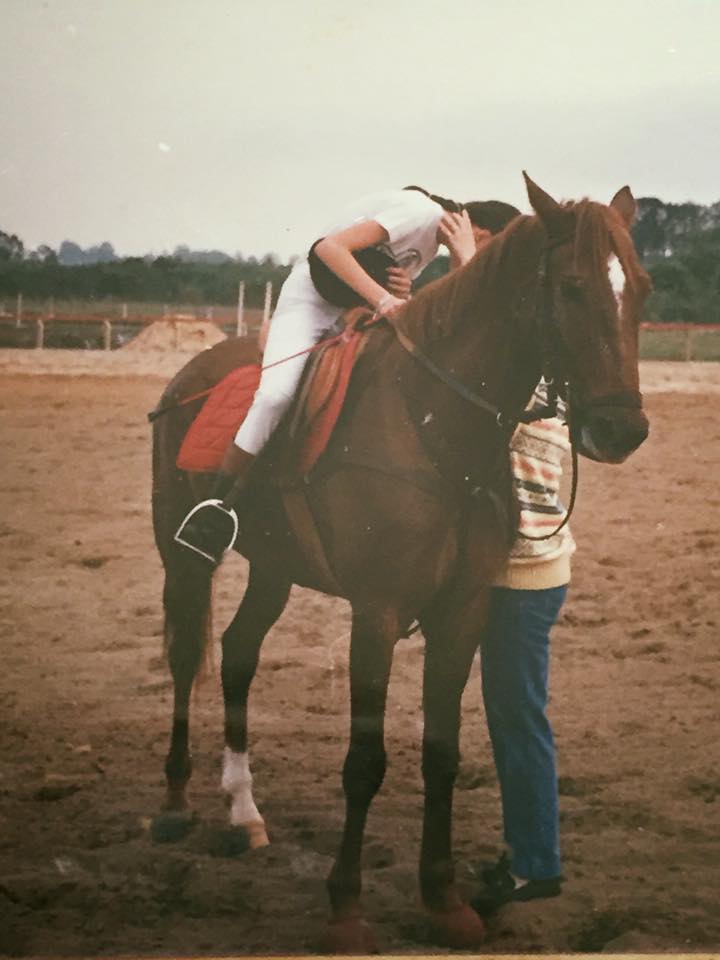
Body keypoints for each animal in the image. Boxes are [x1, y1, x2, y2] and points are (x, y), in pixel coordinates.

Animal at [150, 176, 652, 948]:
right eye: (570, 287)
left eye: (644, 291)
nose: (623, 429)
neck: (433, 423)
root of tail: (189, 377)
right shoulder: (378, 613)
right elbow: (366, 761)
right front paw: (346, 910)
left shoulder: (463, 611)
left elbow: (441, 754)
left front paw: (444, 900)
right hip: (183, 560)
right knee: (184, 660)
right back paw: (176, 803)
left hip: (274, 568)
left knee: (237, 654)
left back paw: (243, 811)